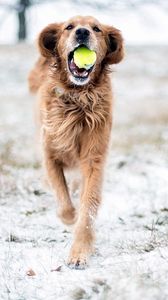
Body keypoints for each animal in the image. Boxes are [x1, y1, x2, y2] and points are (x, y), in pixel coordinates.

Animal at [28, 15, 123, 270]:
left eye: (97, 29)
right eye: (68, 27)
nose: (82, 32)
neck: (78, 98)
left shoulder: (93, 159)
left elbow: (88, 206)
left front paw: (80, 252)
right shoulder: (50, 155)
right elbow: (62, 197)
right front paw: (69, 217)